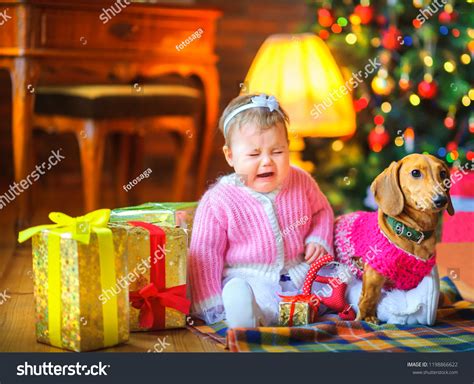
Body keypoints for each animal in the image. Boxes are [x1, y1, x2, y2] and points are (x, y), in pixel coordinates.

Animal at [356, 153, 456, 324]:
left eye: (443, 174)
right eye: (415, 173)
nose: (441, 200)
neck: (413, 234)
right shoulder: (374, 272)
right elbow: (369, 296)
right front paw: (367, 317)